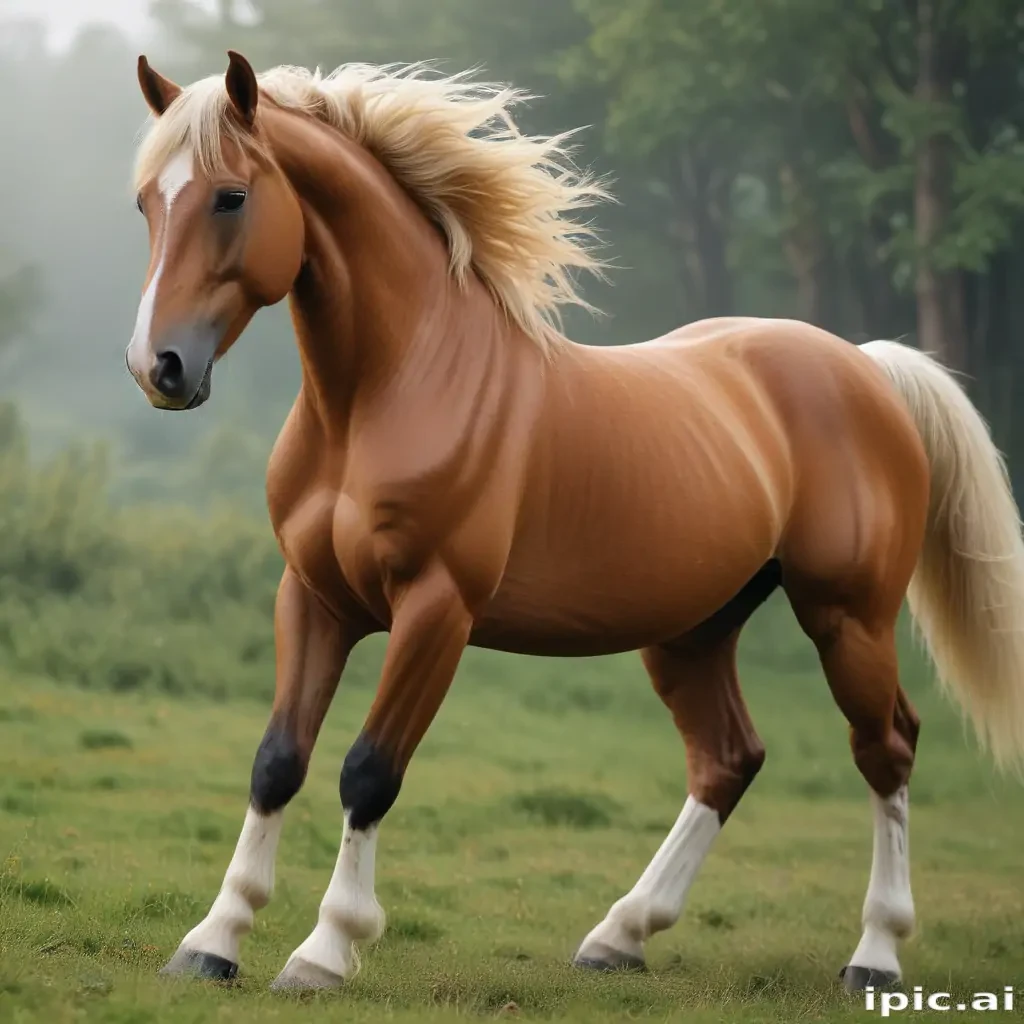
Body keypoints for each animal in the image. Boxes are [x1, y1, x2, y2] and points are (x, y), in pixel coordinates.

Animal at [124, 50, 1024, 994]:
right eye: (147, 201)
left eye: (230, 196)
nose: (160, 367)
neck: (387, 394)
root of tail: (865, 368)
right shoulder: (313, 598)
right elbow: (277, 761)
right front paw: (213, 940)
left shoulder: (436, 612)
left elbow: (368, 771)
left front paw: (325, 950)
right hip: (693, 632)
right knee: (729, 757)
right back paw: (619, 935)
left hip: (848, 618)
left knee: (886, 748)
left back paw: (874, 955)